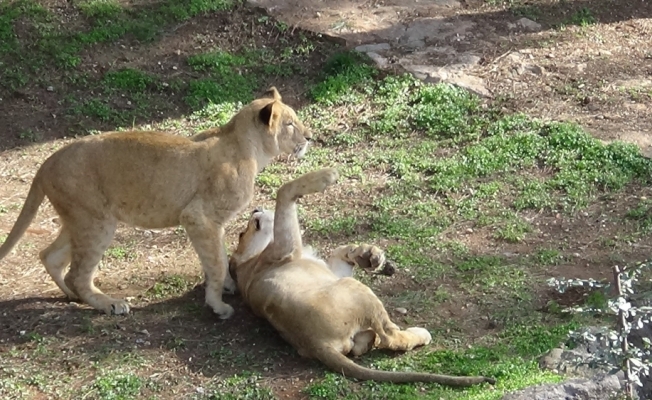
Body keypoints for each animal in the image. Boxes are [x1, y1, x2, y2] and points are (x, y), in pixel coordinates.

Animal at [0, 86, 310, 318]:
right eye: (290, 124)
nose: (309, 137)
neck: (244, 145)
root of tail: (46, 163)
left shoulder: (212, 224)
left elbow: (219, 257)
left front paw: (227, 287)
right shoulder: (198, 217)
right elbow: (216, 263)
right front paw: (217, 305)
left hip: (80, 219)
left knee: (49, 256)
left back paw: (71, 296)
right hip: (97, 222)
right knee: (77, 273)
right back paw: (109, 304)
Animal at [228, 167, 494, 386]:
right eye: (242, 233)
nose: (255, 209)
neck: (252, 261)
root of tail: (316, 344)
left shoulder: (324, 266)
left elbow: (339, 251)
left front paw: (368, 254)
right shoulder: (283, 250)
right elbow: (284, 190)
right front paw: (325, 176)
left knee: (367, 344)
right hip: (355, 288)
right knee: (390, 337)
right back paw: (419, 334)